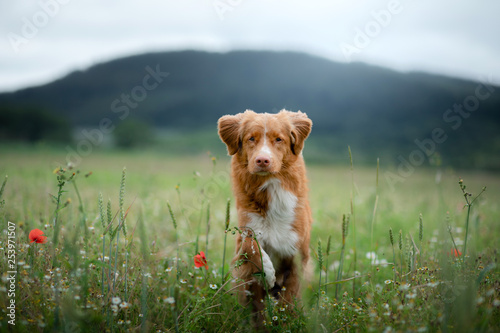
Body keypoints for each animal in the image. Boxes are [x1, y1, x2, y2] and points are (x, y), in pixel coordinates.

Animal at [216, 109, 310, 322]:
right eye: (251, 138)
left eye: (279, 139)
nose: (262, 160)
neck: (271, 185)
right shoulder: (245, 230)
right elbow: (251, 246)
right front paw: (267, 273)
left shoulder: (298, 251)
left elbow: (290, 297)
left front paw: (286, 319)